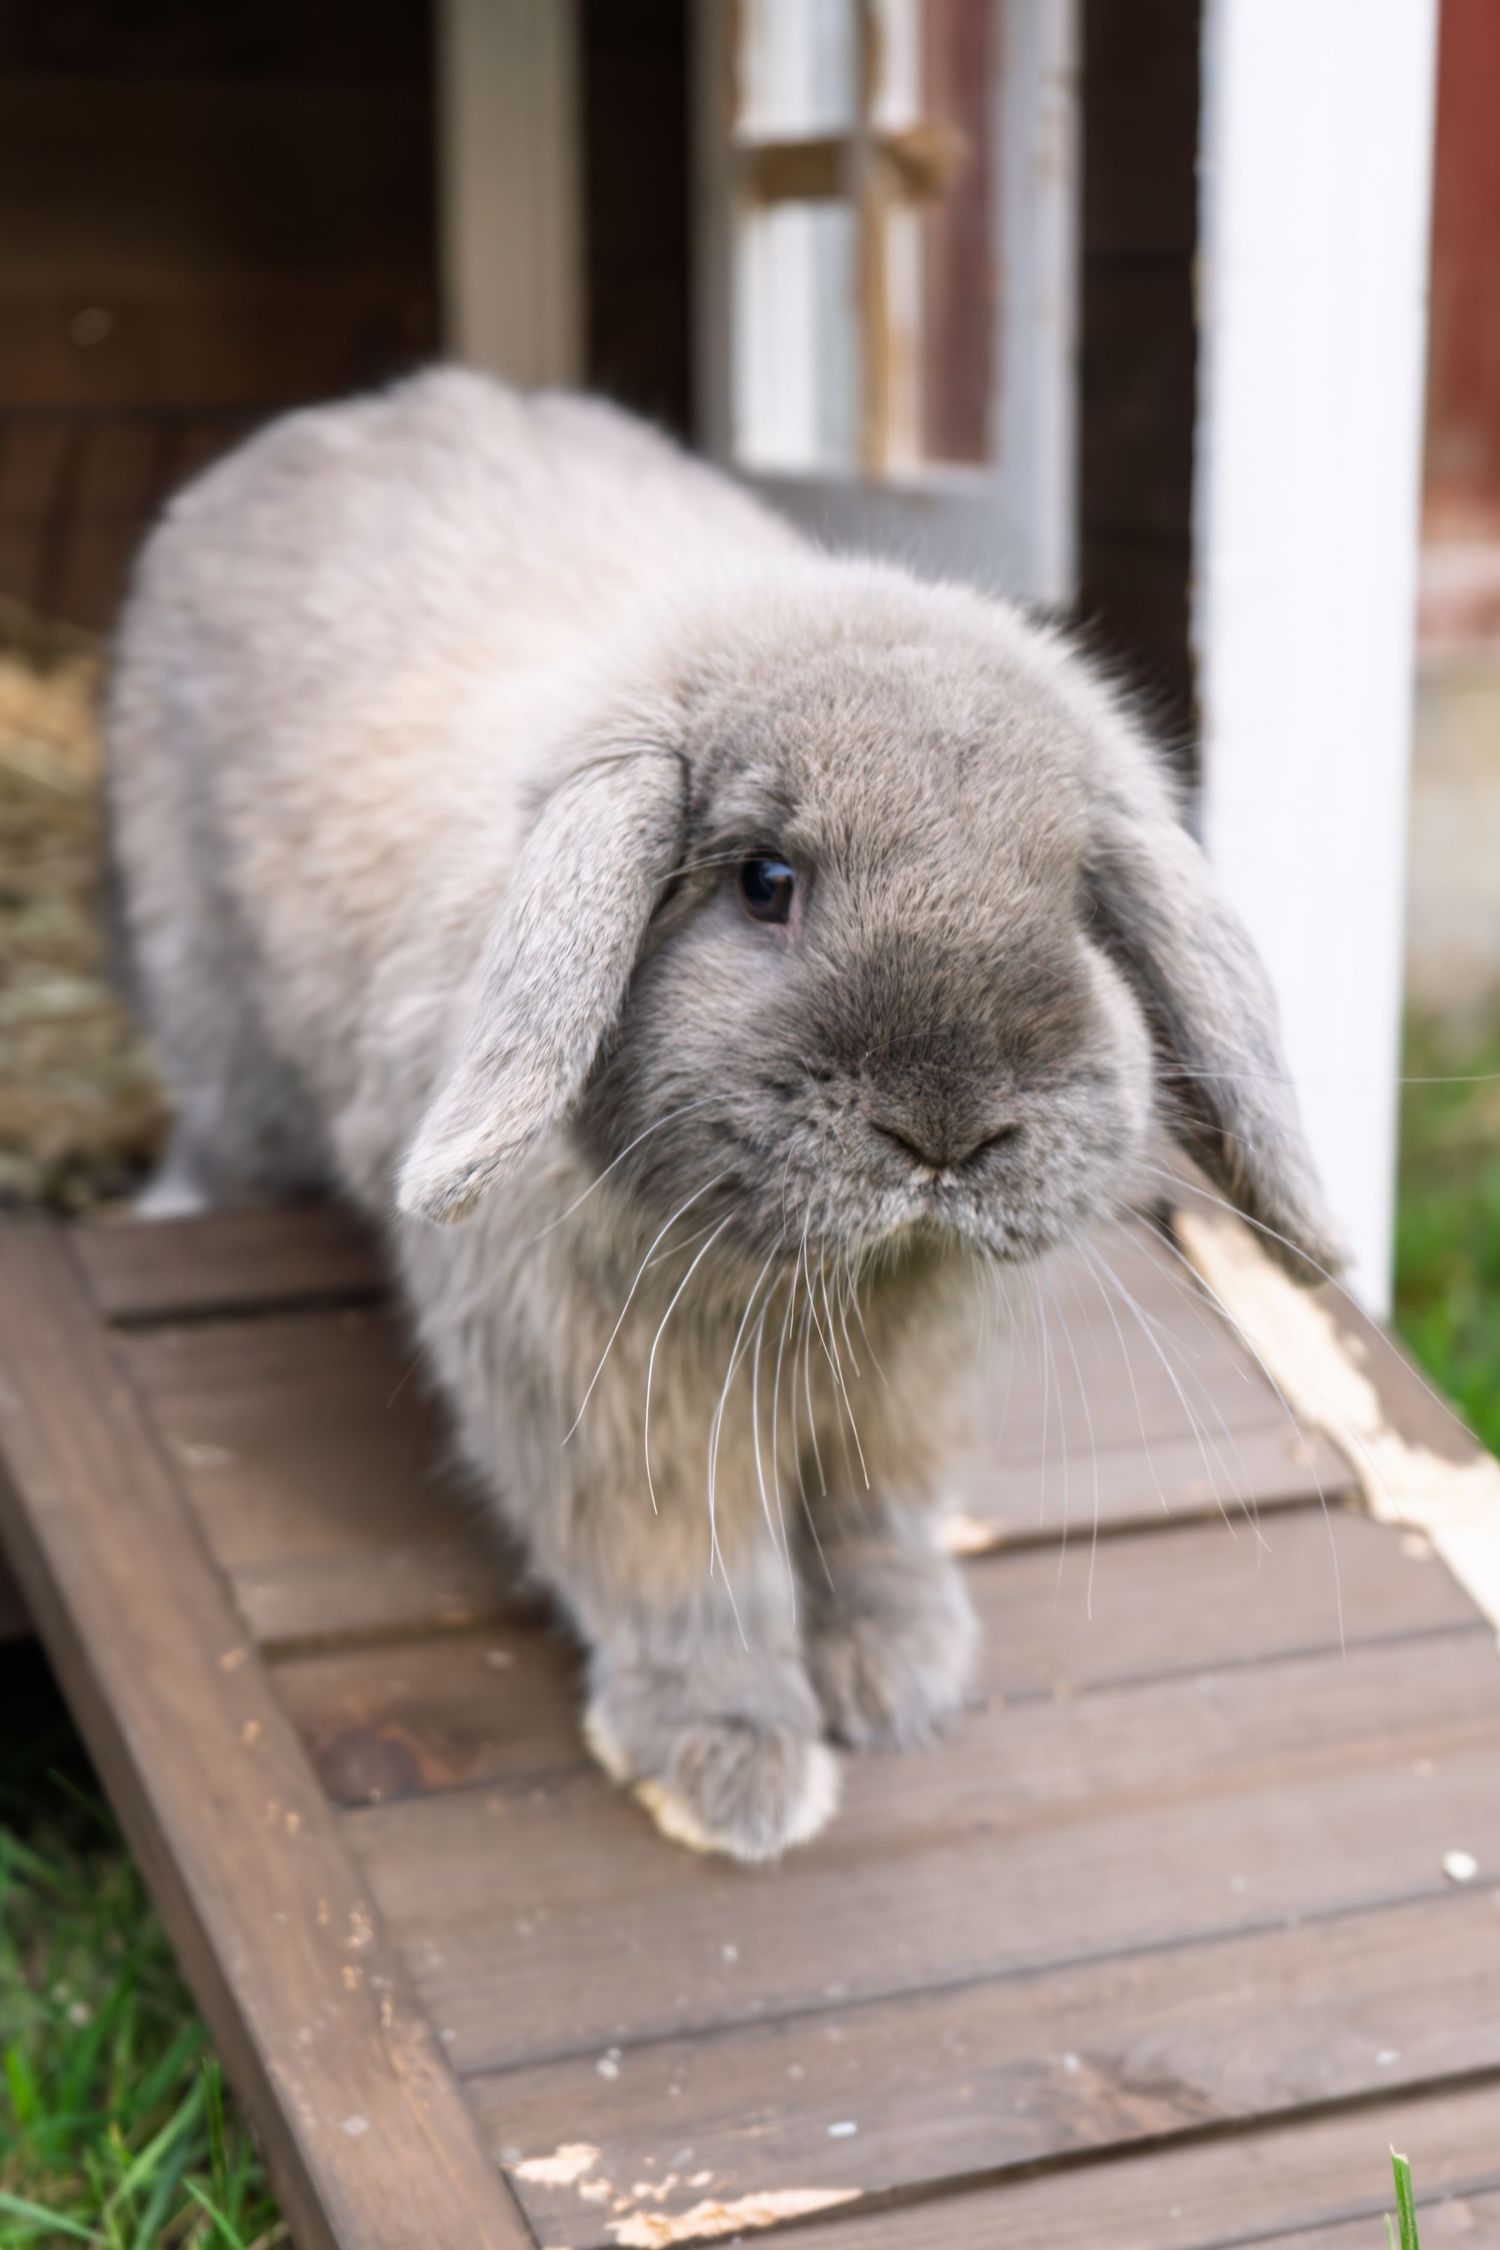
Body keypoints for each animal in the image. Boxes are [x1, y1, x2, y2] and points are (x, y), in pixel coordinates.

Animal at [105, 367, 1340, 1861]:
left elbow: (878, 1522)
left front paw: (903, 1680)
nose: (949, 1130)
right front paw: (733, 1774)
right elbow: (684, 1584)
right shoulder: (610, 1413)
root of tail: (345, 419)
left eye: (1078, 902)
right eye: (765, 881)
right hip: (209, 1002)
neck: (842, 1279)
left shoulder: (906, 1405)